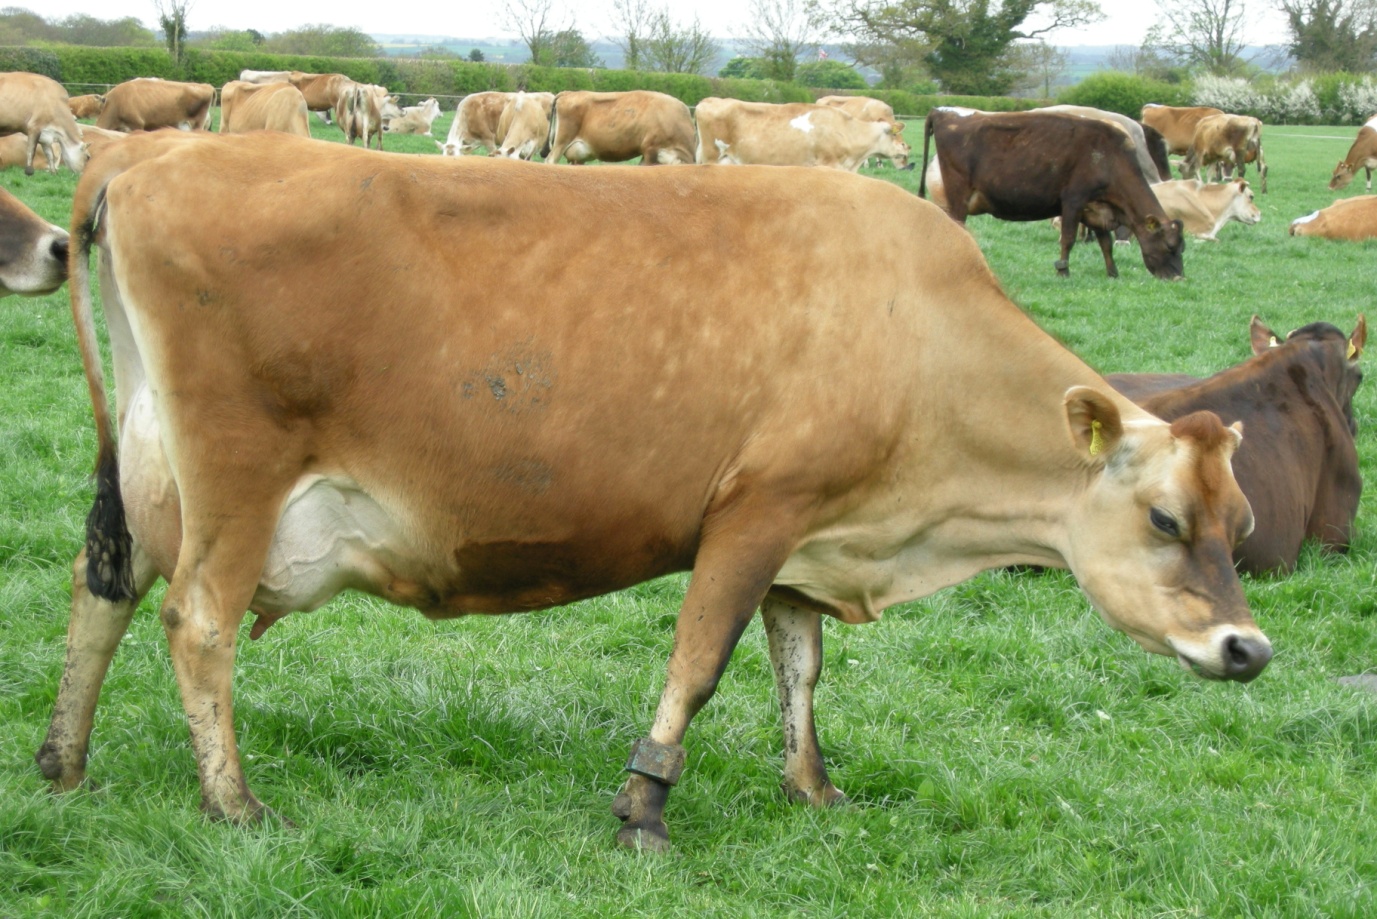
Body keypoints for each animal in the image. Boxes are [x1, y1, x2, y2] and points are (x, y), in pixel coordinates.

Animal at [39, 131, 1270, 854]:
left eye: (1241, 521)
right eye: (1165, 519)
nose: (1249, 649)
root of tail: (153, 155)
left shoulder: (810, 535)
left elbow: (798, 668)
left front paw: (813, 788)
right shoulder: (755, 510)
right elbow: (702, 662)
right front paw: (645, 804)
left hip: (143, 474)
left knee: (102, 588)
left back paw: (65, 763)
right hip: (236, 484)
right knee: (196, 622)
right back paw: (233, 803)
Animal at [920, 108, 1185, 279]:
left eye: (1182, 248)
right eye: (1170, 246)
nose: (1178, 278)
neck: (1109, 158)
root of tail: (943, 112)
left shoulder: (1096, 206)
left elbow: (1105, 243)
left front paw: (1112, 272)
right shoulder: (1073, 200)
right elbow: (1068, 238)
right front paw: (1063, 270)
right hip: (957, 197)